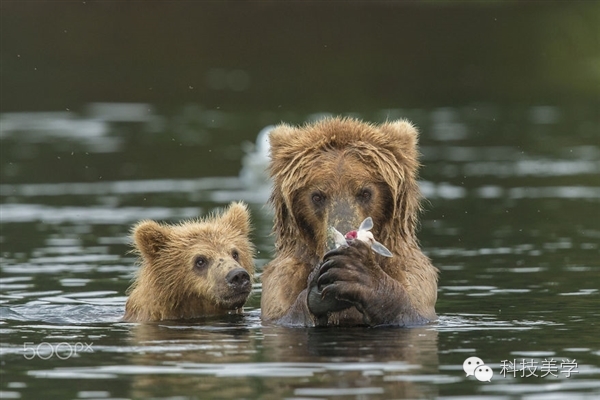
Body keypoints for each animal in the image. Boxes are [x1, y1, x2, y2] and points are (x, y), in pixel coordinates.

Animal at [260, 117, 438, 326]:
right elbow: (285, 317)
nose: (344, 236)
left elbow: (412, 314)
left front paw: (357, 272)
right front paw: (316, 292)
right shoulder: (279, 286)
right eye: (317, 196)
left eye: (365, 192)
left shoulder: (415, 279)